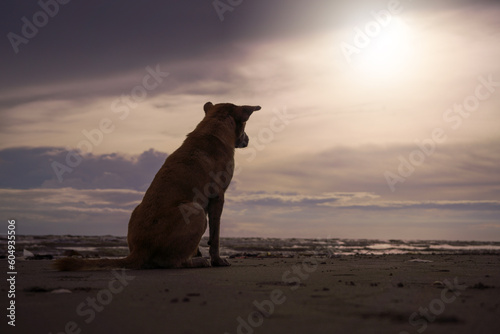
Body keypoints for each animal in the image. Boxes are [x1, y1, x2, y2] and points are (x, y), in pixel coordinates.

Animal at [55, 102, 262, 272]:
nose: (249, 140)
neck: (213, 126)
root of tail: (140, 249)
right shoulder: (218, 197)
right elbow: (216, 235)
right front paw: (217, 260)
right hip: (195, 211)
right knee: (172, 262)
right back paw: (197, 262)